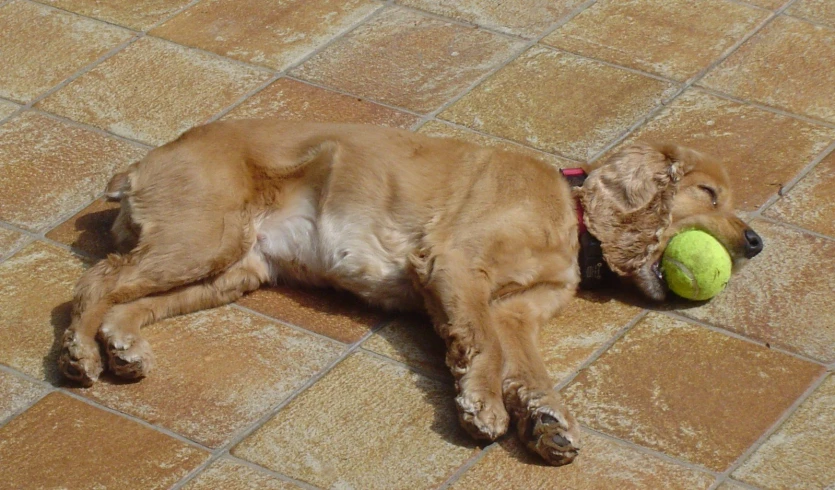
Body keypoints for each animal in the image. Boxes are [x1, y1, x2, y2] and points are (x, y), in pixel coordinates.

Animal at [57, 120, 764, 466]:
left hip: (234, 267)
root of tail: (142, 164)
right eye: (708, 194)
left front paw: (547, 423)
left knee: (127, 299)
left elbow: (529, 369)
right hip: (205, 235)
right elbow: (483, 349)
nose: (756, 243)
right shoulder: (454, 265)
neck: (570, 216)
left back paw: (122, 347)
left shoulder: (517, 313)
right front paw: (483, 408)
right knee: (97, 281)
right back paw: (78, 355)